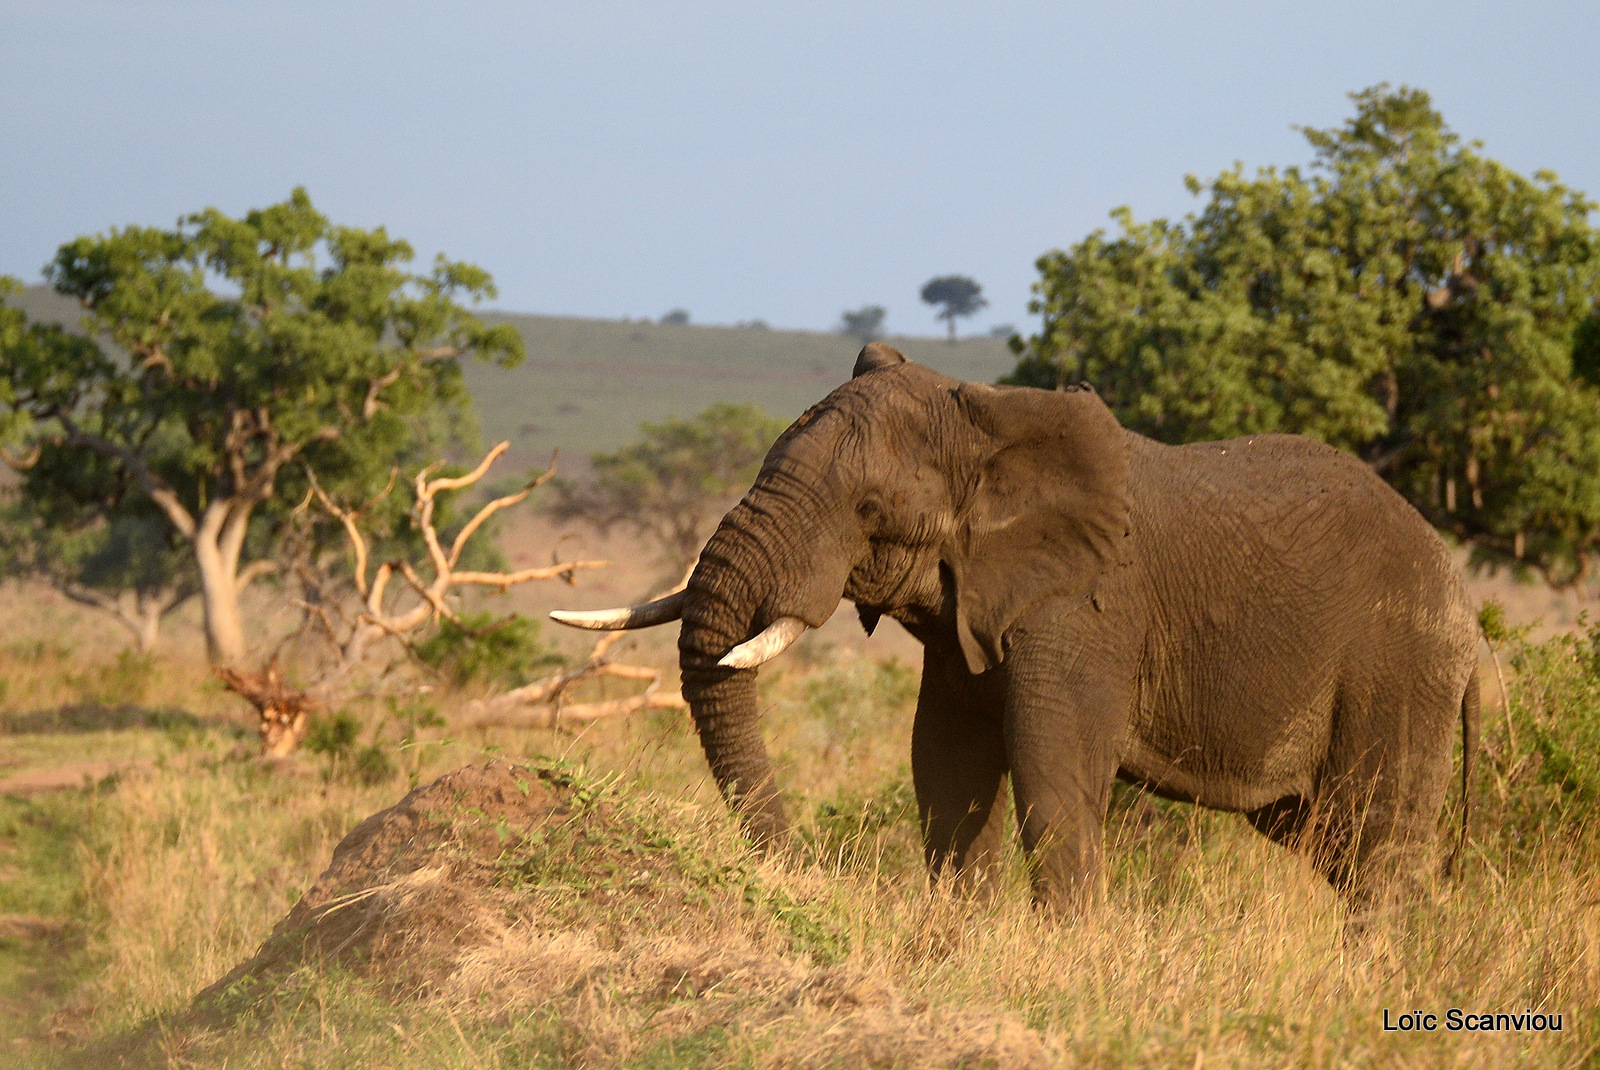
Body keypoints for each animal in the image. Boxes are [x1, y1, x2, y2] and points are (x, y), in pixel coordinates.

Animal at [556, 342, 1478, 908]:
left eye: (870, 509)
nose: (801, 874)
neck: (992, 422)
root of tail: (1466, 602)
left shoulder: (1086, 611)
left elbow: (1050, 768)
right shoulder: (969, 609)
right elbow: (946, 763)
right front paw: (956, 936)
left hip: (1400, 669)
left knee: (1375, 843)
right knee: (1330, 840)